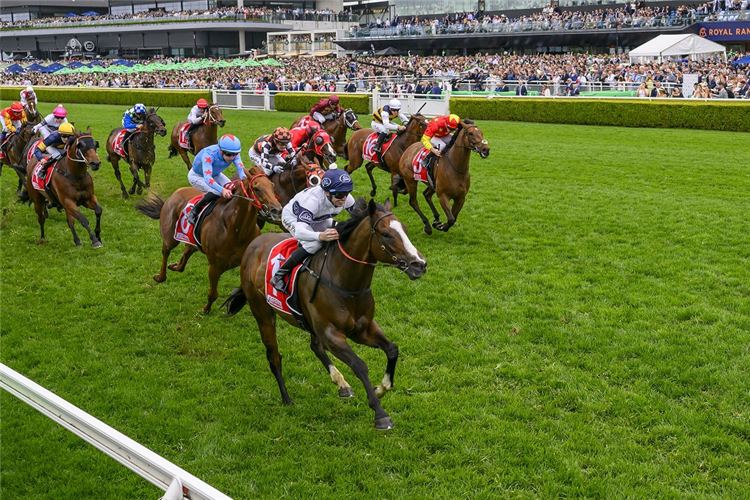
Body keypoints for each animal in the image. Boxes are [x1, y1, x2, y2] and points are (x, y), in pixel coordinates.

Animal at [134, 170, 284, 314]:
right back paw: (160, 276)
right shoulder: (214, 267)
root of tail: (175, 193)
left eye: (272, 186)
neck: (235, 229)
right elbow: (213, 294)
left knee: (186, 253)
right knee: (166, 251)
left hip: (193, 240)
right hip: (170, 236)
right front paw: (205, 309)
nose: (276, 210)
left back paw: (175, 266)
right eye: (256, 188)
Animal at [223, 198, 428, 430]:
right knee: (274, 357)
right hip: (263, 313)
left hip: (310, 323)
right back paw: (287, 399)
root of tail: (253, 245)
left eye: (405, 229)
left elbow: (392, 349)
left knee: (315, 346)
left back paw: (342, 384)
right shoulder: (332, 334)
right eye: (385, 234)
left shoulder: (363, 329)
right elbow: (359, 365)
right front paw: (380, 414)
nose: (419, 265)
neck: (345, 281)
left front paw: (381, 388)